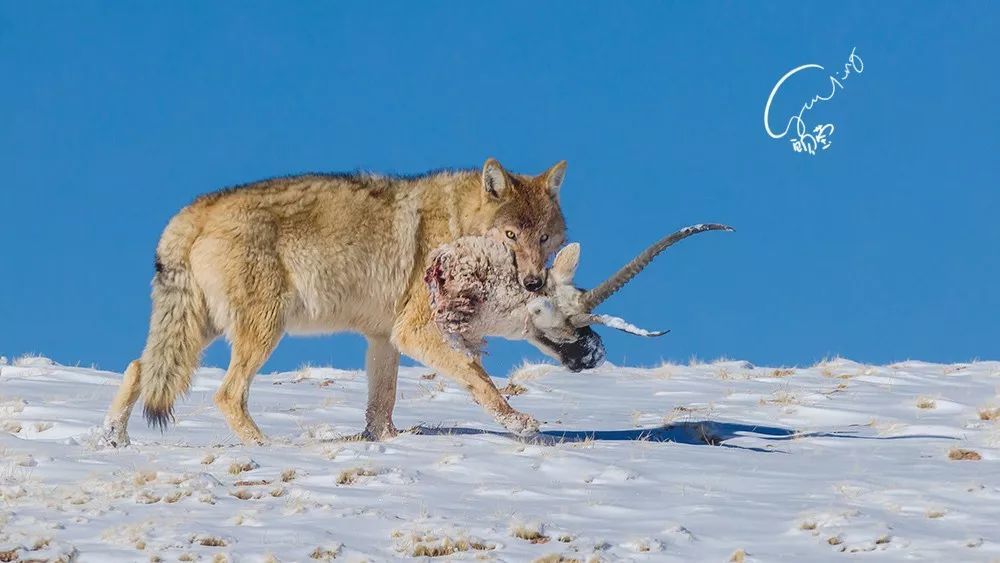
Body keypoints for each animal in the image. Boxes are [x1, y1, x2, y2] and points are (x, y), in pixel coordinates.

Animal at [102, 156, 576, 448]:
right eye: (511, 235)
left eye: (543, 238)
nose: (534, 282)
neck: (458, 227)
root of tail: (193, 211)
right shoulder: (414, 331)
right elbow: (478, 378)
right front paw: (520, 424)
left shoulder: (385, 338)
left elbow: (381, 405)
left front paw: (387, 443)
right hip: (262, 330)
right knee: (227, 394)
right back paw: (265, 447)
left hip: (202, 330)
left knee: (139, 367)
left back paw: (114, 439)